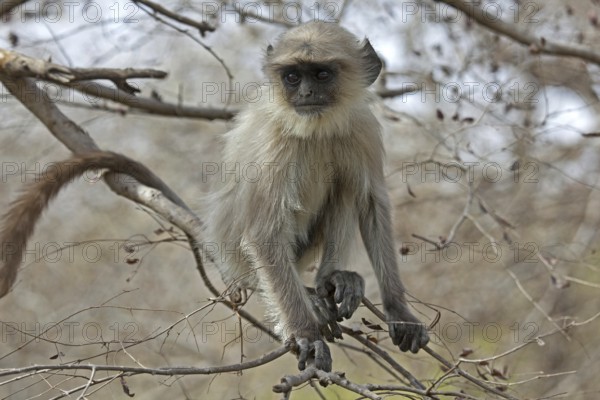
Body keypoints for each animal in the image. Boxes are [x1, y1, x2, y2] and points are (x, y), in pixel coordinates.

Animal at [0, 21, 432, 372]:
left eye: (322, 74)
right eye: (293, 76)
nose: (306, 92)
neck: (315, 125)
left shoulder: (362, 125)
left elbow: (373, 203)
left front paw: (399, 309)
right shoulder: (275, 140)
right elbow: (263, 233)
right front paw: (306, 334)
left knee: (347, 188)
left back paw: (332, 280)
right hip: (242, 259)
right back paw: (316, 296)